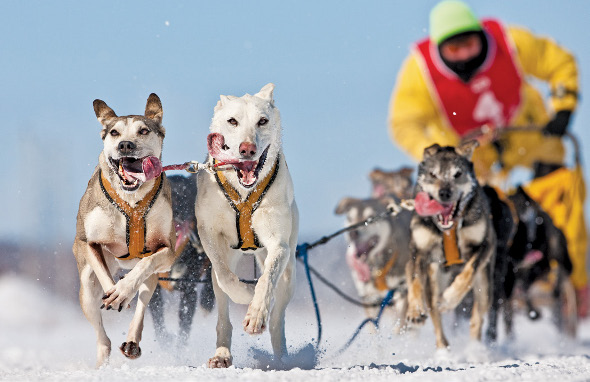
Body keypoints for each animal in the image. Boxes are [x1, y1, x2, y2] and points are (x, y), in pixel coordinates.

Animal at [73, 93, 178, 368]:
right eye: (114, 132)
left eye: (143, 130)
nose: (126, 145)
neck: (131, 200)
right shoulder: (88, 242)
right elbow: (102, 271)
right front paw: (115, 292)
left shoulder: (167, 250)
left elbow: (144, 265)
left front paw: (123, 292)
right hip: (86, 290)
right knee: (103, 337)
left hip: (153, 278)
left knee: (143, 297)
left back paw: (131, 340)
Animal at [198, 83, 300, 368]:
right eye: (232, 121)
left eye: (262, 121)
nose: (247, 149)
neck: (244, 194)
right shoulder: (209, 235)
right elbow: (226, 278)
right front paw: (245, 293)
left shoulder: (278, 244)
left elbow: (266, 281)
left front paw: (255, 313)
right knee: (223, 305)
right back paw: (222, 354)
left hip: (290, 273)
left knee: (277, 317)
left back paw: (281, 357)